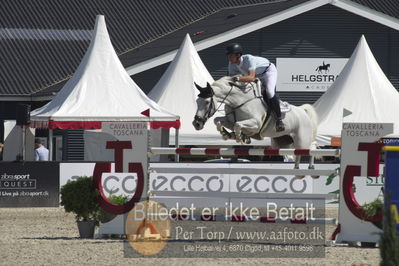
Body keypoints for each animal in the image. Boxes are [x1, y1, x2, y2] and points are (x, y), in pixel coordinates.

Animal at [192, 76, 320, 169]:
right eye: (197, 101)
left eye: (207, 102)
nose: (196, 123)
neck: (238, 101)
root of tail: (303, 111)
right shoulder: (230, 120)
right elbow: (218, 121)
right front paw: (227, 134)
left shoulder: (255, 124)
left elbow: (238, 125)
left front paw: (239, 137)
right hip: (282, 143)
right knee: (294, 154)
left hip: (301, 141)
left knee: (310, 148)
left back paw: (310, 167)